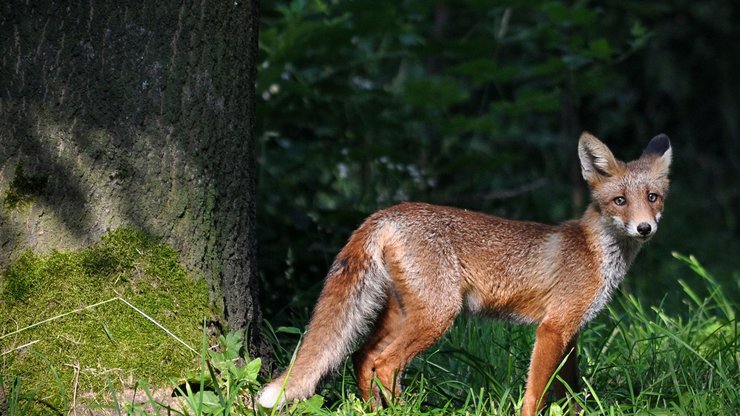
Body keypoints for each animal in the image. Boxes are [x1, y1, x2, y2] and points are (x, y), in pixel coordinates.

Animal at [258, 132, 672, 414]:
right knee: (384, 364)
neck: (593, 250)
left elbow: (568, 391)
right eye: (620, 201)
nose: (645, 228)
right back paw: (403, 410)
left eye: (652, 198)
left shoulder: (571, 332)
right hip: (438, 314)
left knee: (362, 357)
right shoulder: (553, 328)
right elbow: (535, 394)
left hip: (402, 313)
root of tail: (385, 213)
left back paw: (375, 410)